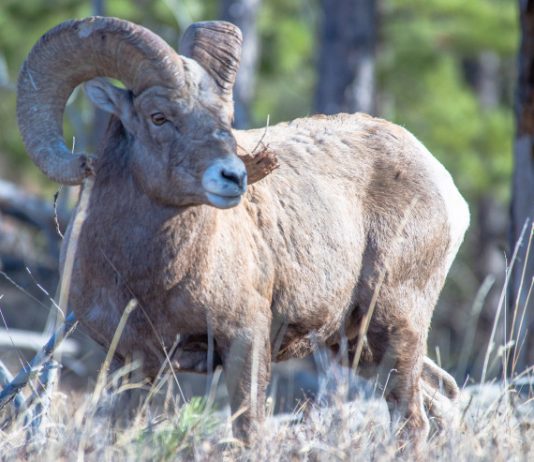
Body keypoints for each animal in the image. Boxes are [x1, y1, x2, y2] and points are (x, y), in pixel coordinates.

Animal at [16, 17, 468, 448]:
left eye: (226, 121)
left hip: (395, 325)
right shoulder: (132, 360)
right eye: (158, 117)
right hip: (357, 346)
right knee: (442, 396)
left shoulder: (244, 342)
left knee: (411, 421)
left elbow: (247, 430)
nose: (233, 177)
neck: (146, 277)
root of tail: (446, 188)